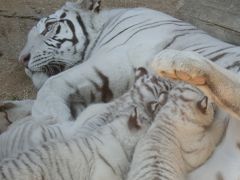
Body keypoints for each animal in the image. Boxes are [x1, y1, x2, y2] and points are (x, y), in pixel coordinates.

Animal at [0, 0, 240, 179]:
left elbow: (52, 85)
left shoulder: (119, 55)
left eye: (49, 29)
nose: (22, 59)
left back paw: (177, 62)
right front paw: (9, 112)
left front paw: (52, 120)